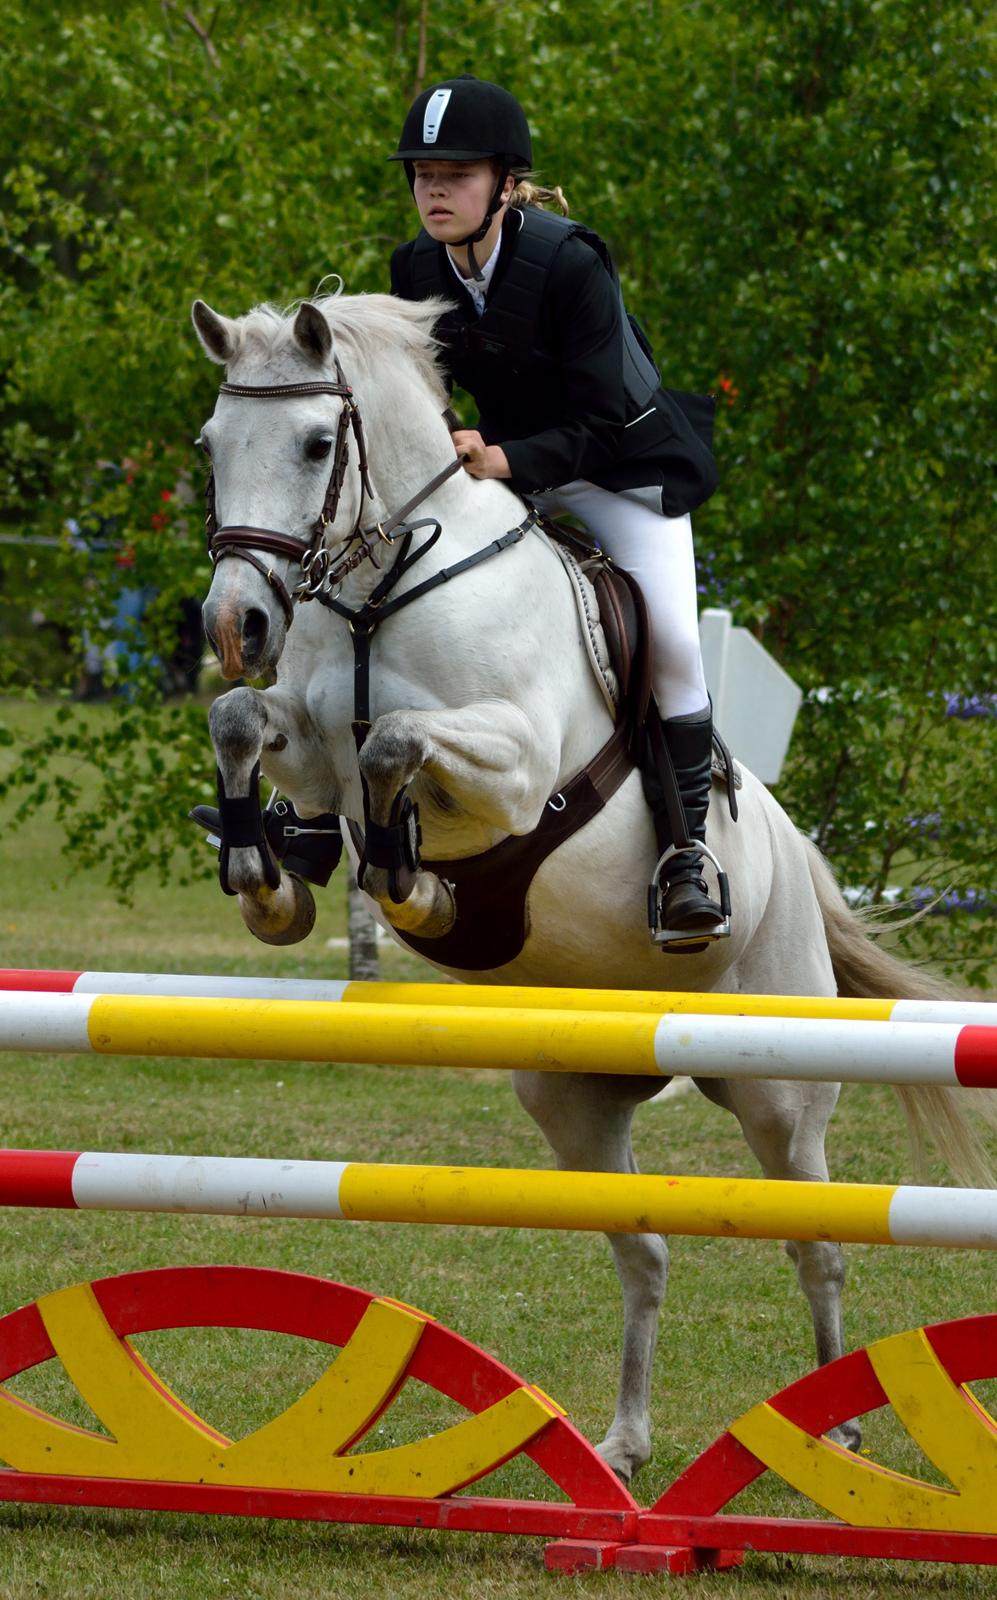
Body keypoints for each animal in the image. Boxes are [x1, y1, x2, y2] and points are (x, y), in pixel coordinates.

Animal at [191, 290, 990, 1485]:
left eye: (318, 443)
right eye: (209, 445)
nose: (235, 624)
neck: (386, 592)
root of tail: (798, 860)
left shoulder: (514, 766)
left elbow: (395, 748)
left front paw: (417, 889)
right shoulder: (305, 750)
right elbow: (248, 723)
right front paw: (269, 880)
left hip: (779, 1091)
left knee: (817, 1243)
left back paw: (836, 1427)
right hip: (569, 1101)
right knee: (643, 1248)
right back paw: (623, 1440)